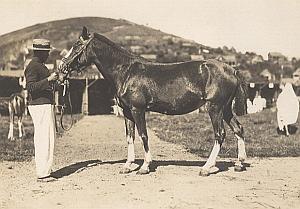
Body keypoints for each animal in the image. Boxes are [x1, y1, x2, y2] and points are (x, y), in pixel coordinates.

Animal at [58, 27, 246, 176]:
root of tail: (232, 70)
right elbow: (130, 137)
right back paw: (239, 163)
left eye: (77, 45)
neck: (126, 72)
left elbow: (143, 135)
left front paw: (145, 166)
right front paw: (128, 165)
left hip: (215, 108)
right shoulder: (127, 112)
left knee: (220, 134)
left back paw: (207, 167)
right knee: (238, 129)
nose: (62, 67)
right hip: (226, 109)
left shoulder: (138, 109)